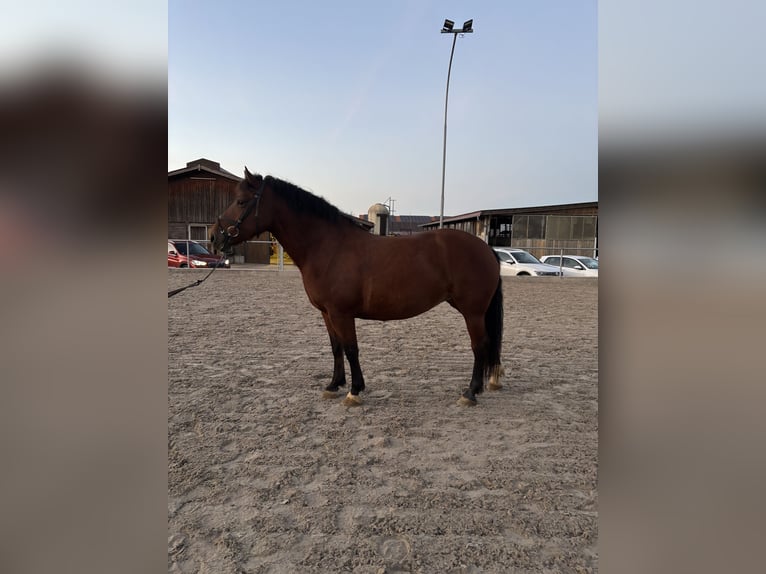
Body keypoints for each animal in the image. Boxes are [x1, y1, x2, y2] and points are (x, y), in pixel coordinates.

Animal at [210, 169, 504, 406]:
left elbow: (351, 349)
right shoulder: (327, 313)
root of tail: (486, 248)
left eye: (241, 201)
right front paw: (333, 385)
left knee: (479, 346)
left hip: (473, 312)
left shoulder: (342, 313)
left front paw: (354, 391)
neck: (328, 247)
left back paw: (470, 393)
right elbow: (336, 347)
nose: (214, 237)